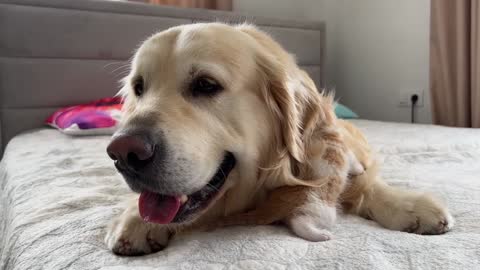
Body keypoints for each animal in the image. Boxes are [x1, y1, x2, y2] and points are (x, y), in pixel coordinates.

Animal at [105, 22, 454, 255]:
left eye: (205, 84)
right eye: (139, 88)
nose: (123, 153)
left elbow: (366, 183)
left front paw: (411, 206)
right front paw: (136, 219)